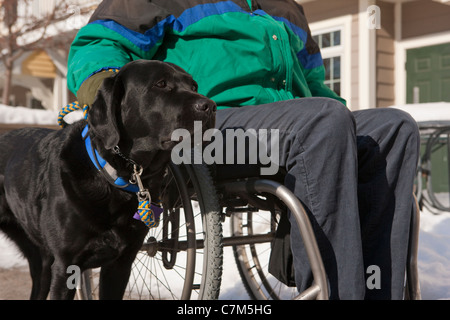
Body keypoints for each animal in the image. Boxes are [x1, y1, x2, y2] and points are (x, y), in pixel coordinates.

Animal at [0, 60, 216, 300]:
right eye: (161, 84)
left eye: (194, 86)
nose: (210, 106)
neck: (117, 177)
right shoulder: (66, 266)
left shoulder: (120, 264)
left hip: (41, 258)